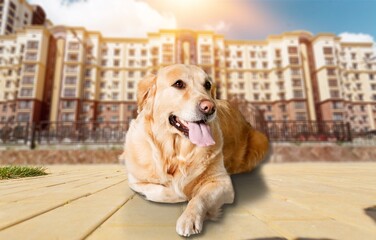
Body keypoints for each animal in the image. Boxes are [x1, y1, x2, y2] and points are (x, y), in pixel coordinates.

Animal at [125, 63, 268, 236]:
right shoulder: (135, 180)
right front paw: (181, 194)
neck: (176, 152)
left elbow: (200, 197)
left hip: (260, 141)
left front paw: (189, 218)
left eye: (207, 85)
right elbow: (163, 191)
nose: (209, 107)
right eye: (179, 84)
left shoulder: (222, 182)